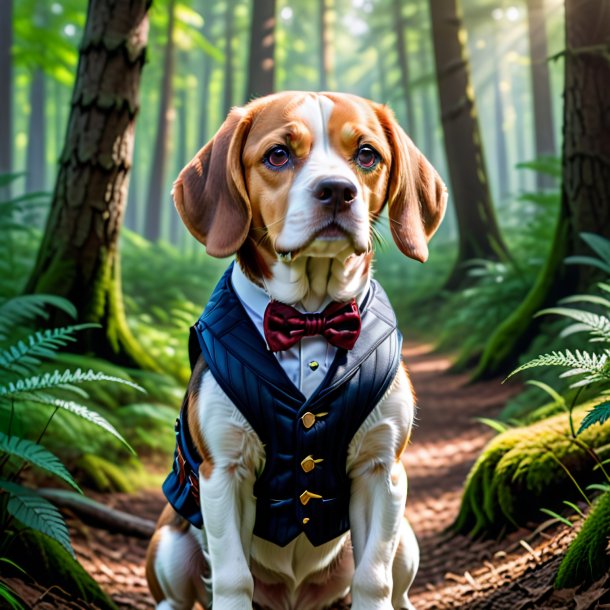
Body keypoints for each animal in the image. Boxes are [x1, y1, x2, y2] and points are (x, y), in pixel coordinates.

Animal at [145, 91, 444, 608]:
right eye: (278, 155)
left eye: (367, 155)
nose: (338, 191)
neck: (310, 317)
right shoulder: (224, 471)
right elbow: (232, 577)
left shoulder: (382, 470)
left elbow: (373, 578)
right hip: (170, 543)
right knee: (177, 595)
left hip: (405, 538)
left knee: (398, 587)